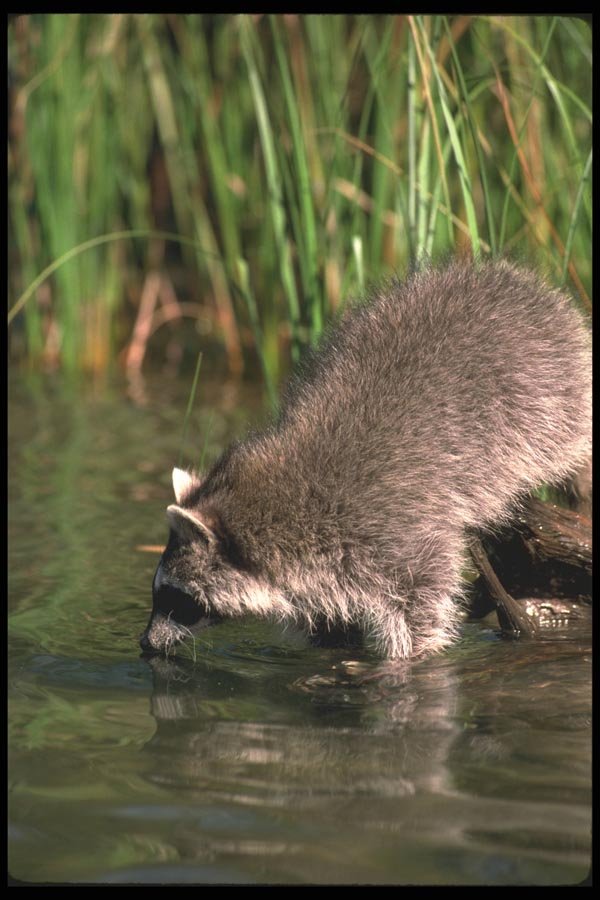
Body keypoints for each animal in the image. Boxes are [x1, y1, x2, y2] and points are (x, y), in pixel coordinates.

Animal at [140, 260, 592, 660]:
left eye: (177, 598)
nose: (145, 644)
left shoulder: (395, 534)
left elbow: (423, 599)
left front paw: (407, 658)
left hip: (553, 400)